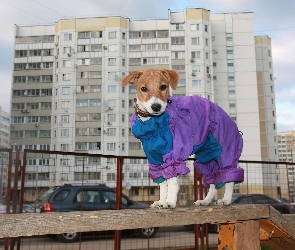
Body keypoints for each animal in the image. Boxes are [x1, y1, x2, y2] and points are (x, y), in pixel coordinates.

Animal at [121, 69, 244, 208]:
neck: (152, 124)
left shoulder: (172, 157)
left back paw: (226, 199)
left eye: (163, 86)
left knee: (229, 176)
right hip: (207, 158)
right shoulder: (154, 159)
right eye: (143, 88)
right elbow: (162, 184)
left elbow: (172, 182)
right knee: (213, 181)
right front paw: (161, 201)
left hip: (225, 152)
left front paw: (170, 201)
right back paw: (205, 201)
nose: (156, 107)